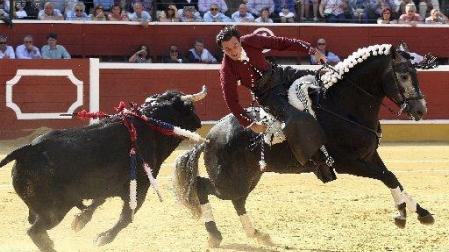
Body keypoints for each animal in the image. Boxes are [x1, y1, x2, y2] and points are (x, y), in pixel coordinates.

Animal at [0, 87, 206, 252]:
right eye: (190, 108)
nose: (199, 122)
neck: (151, 125)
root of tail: (28, 149)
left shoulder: (107, 186)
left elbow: (97, 202)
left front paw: (80, 221)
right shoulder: (140, 186)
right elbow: (126, 216)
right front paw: (103, 238)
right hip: (55, 209)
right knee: (35, 232)